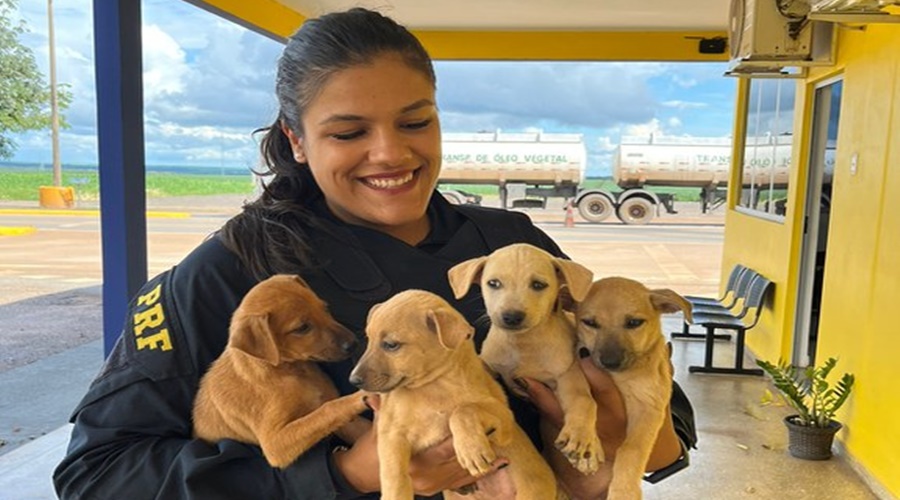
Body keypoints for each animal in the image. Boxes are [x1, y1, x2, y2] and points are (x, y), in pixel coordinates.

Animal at [192, 274, 370, 468]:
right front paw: (360, 396)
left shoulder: (343, 422)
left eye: (325, 308)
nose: (354, 344)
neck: (288, 370)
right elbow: (326, 410)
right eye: (302, 328)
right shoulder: (274, 444)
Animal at [348, 290, 560, 500]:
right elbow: (393, 472)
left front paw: (471, 450)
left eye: (391, 345)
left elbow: (463, 409)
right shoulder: (391, 433)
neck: (432, 387)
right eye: (368, 340)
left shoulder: (504, 421)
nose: (353, 380)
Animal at [446, 244, 600, 474]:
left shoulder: (568, 374)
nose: (511, 317)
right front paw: (471, 449)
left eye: (538, 285)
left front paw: (581, 437)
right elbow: (463, 409)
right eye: (493, 283)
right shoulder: (489, 366)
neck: (523, 345)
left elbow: (585, 400)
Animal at [572, 278, 692, 500]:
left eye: (634, 323)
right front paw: (587, 450)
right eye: (590, 323)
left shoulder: (649, 407)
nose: (610, 362)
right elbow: (586, 405)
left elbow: (631, 449)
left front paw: (624, 490)